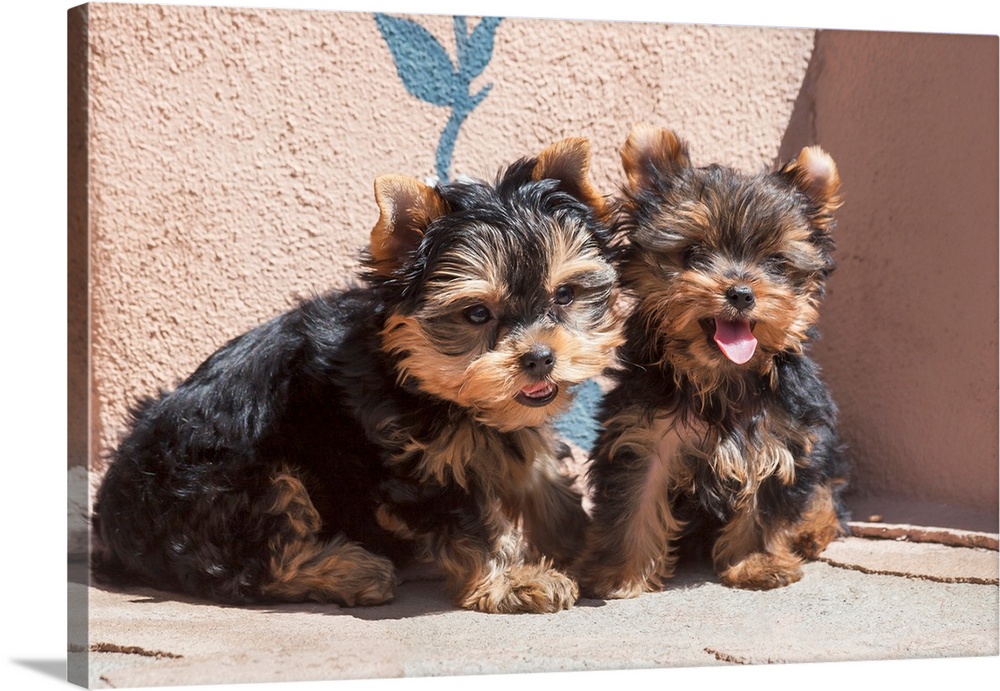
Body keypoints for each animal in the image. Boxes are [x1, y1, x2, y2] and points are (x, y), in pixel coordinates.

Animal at [95, 138, 624, 612]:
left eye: (564, 296)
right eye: (476, 314)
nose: (539, 358)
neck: (414, 372)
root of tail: (113, 518)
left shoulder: (511, 427)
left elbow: (544, 479)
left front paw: (588, 548)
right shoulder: (414, 463)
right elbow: (472, 523)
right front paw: (512, 580)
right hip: (233, 484)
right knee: (254, 560)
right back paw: (353, 571)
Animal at [580, 125, 852, 600]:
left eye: (776, 263)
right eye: (692, 254)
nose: (741, 293)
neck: (721, 374)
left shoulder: (779, 436)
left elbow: (766, 504)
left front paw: (756, 564)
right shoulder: (643, 436)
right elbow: (633, 502)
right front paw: (621, 573)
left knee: (824, 491)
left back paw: (811, 530)